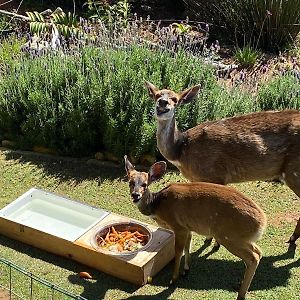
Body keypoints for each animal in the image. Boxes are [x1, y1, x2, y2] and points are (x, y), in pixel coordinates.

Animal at [124, 156, 268, 300]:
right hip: (240, 238)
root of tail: (262, 223)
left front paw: (173, 279)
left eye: (145, 184)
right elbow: (188, 246)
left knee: (253, 257)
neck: (158, 205)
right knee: (258, 252)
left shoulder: (179, 227)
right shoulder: (188, 228)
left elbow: (178, 251)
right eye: (130, 182)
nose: (135, 195)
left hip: (229, 236)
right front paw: (186, 270)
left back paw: (241, 294)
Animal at [145, 80, 300, 244]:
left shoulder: (215, 175)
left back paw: (292, 238)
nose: (163, 102)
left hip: (294, 171)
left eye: (175, 99)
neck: (181, 150)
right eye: (157, 95)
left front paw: (211, 241)